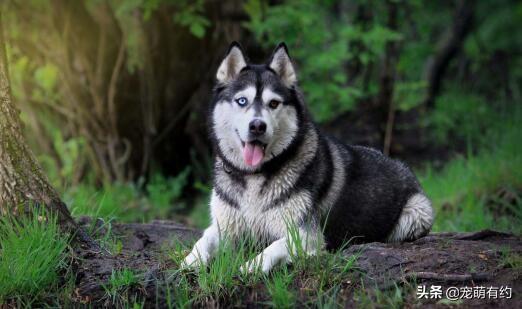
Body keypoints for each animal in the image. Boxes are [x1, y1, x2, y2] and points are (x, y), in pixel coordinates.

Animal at [181, 41, 432, 272]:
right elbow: (203, 240)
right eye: (242, 101)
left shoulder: (305, 234)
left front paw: (250, 266)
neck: (254, 175)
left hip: (418, 213)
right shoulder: (224, 226)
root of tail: (401, 165)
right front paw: (190, 261)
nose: (257, 126)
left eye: (274, 103)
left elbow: (272, 248)